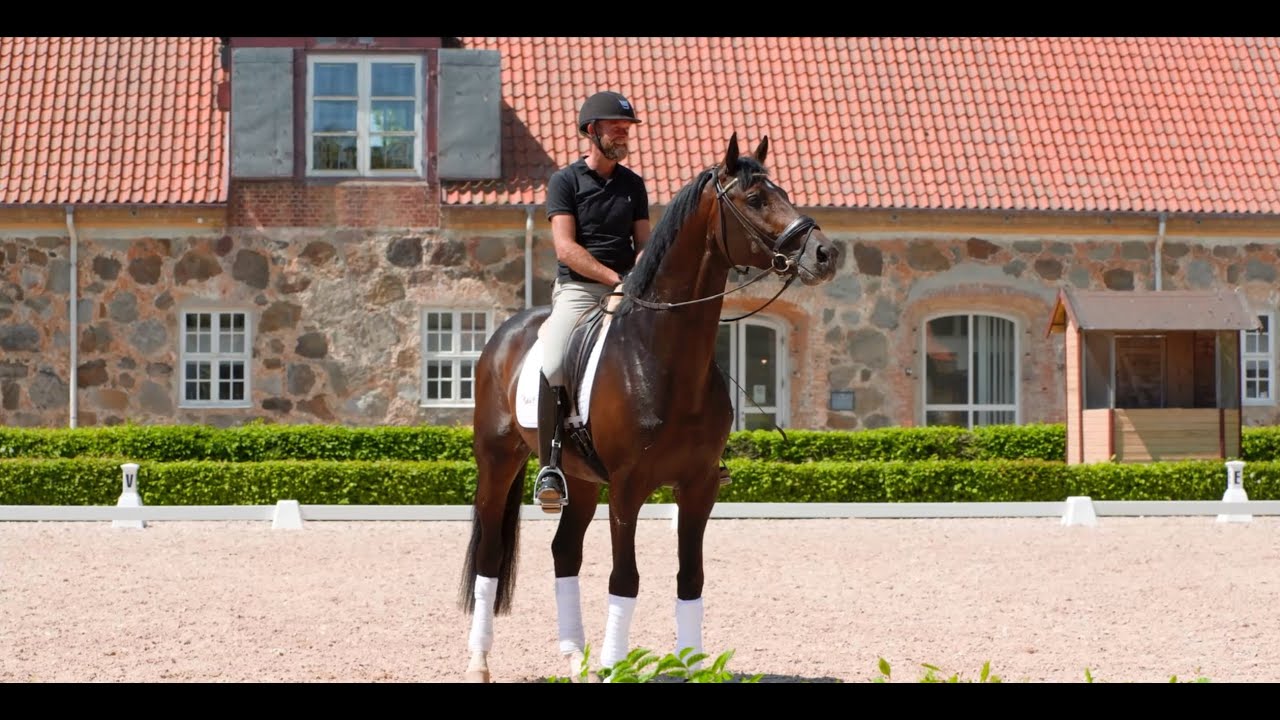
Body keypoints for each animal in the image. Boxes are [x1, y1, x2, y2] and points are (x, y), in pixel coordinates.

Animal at [457, 132, 840, 682]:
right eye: (754, 199)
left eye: (783, 192)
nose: (826, 254)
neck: (661, 356)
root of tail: (503, 335)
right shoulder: (628, 487)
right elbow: (625, 578)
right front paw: (616, 665)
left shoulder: (698, 486)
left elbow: (690, 577)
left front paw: (695, 664)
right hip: (498, 462)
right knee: (490, 554)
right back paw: (480, 661)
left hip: (580, 481)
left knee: (564, 551)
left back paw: (575, 658)